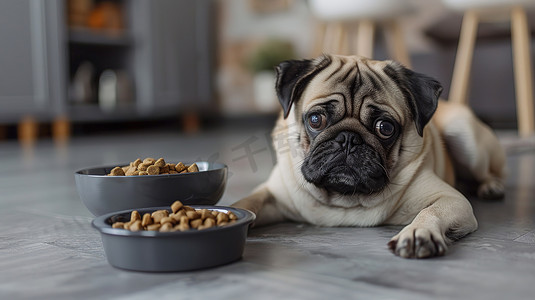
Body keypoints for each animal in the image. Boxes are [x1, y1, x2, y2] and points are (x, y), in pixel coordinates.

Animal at [232, 54, 504, 258]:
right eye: (316, 119)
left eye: (385, 128)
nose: (348, 139)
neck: (345, 199)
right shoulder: (273, 196)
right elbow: (248, 201)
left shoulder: (451, 200)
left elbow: (431, 212)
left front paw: (419, 233)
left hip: (465, 135)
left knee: (490, 172)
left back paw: (491, 187)